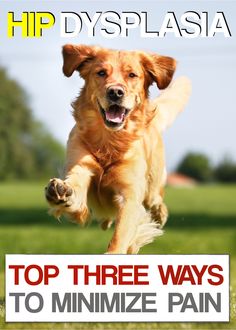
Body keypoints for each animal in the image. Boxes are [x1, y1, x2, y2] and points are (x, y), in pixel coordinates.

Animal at [45, 44, 191, 255]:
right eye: (101, 73)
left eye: (132, 75)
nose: (115, 92)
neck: (110, 141)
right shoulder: (81, 167)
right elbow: (76, 188)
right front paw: (61, 191)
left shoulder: (130, 195)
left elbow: (121, 234)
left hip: (152, 185)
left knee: (157, 199)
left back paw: (160, 214)